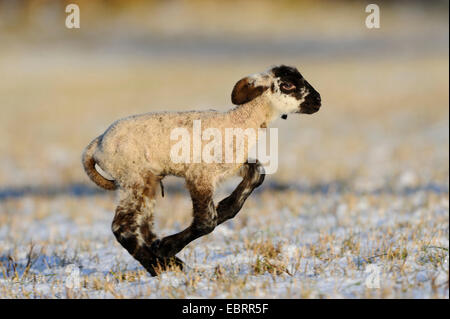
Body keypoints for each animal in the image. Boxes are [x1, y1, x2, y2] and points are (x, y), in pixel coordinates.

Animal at [80, 64, 320, 276]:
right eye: (287, 85)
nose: (318, 100)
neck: (238, 123)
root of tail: (97, 144)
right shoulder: (199, 175)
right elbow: (206, 221)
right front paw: (167, 246)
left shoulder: (231, 165)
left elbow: (257, 174)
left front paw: (224, 207)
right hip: (133, 177)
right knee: (122, 227)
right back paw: (162, 264)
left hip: (146, 180)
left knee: (142, 225)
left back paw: (167, 262)